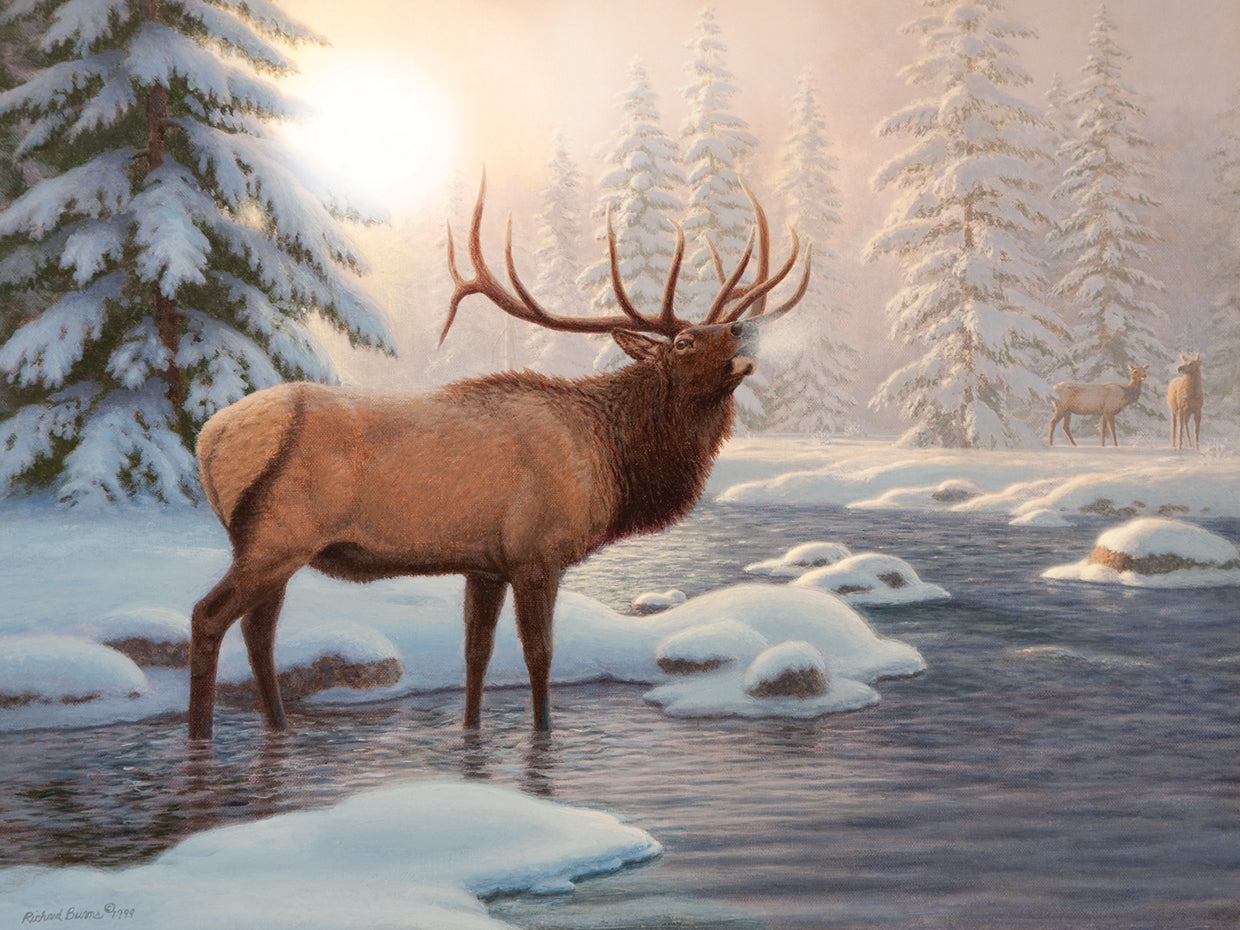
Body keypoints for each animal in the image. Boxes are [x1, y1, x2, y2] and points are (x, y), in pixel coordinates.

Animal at [186, 173, 811, 740]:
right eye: (684, 341)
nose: (744, 331)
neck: (611, 459)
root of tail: (209, 437)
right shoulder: (538, 552)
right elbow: (540, 657)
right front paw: (543, 737)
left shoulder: (484, 563)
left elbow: (477, 656)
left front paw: (472, 736)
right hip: (276, 535)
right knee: (209, 617)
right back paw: (201, 736)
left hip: (270, 545)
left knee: (259, 631)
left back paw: (278, 728)